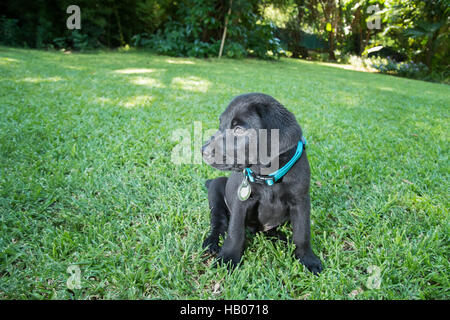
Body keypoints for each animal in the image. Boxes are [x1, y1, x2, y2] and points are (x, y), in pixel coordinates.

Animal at [202, 92, 322, 272]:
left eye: (238, 130)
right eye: (221, 123)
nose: (203, 151)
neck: (268, 177)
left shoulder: (300, 200)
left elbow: (302, 232)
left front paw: (307, 258)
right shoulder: (240, 202)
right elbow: (235, 232)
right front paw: (228, 258)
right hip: (216, 187)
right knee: (219, 221)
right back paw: (212, 241)